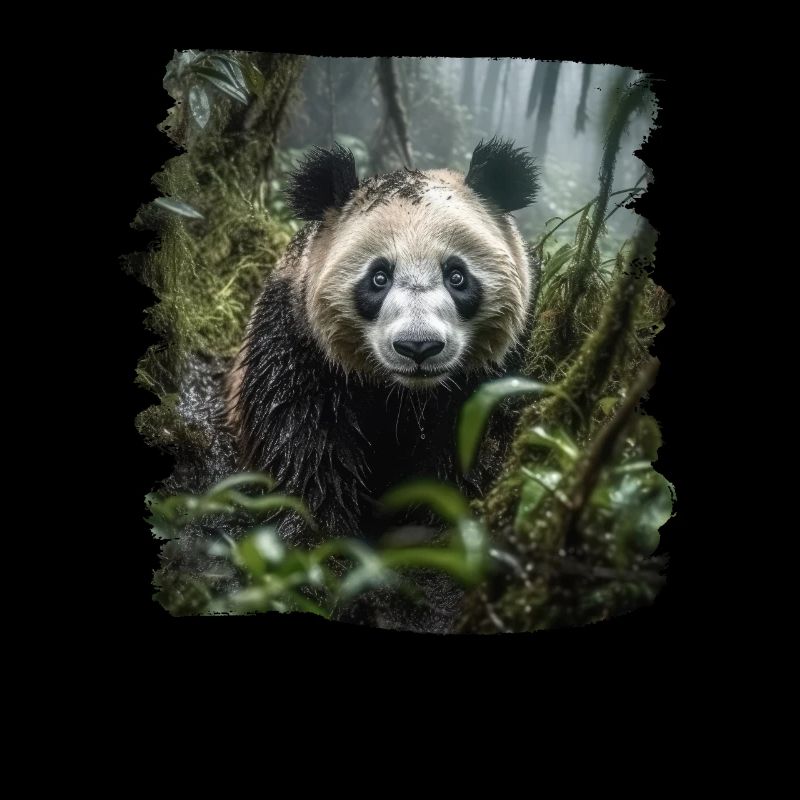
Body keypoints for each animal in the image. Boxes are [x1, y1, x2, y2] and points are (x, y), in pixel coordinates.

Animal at [226, 137, 540, 632]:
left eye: (457, 275)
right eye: (379, 277)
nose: (418, 347)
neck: (402, 394)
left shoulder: (488, 373)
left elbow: (458, 455)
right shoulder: (298, 346)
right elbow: (303, 453)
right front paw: (321, 564)